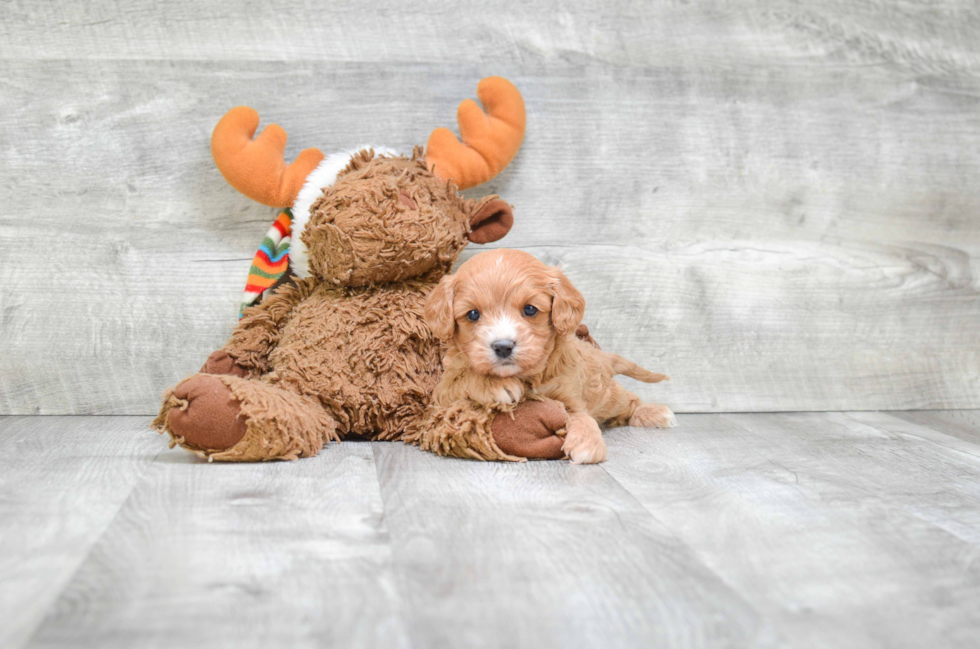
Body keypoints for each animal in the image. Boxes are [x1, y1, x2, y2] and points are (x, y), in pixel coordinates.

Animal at [424, 246, 676, 464]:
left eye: (530, 309)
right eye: (473, 314)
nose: (503, 346)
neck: (528, 376)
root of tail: (600, 356)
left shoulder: (570, 393)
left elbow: (580, 415)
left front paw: (587, 441)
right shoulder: (441, 394)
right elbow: (463, 378)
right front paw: (494, 385)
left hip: (608, 395)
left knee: (630, 402)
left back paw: (656, 412)